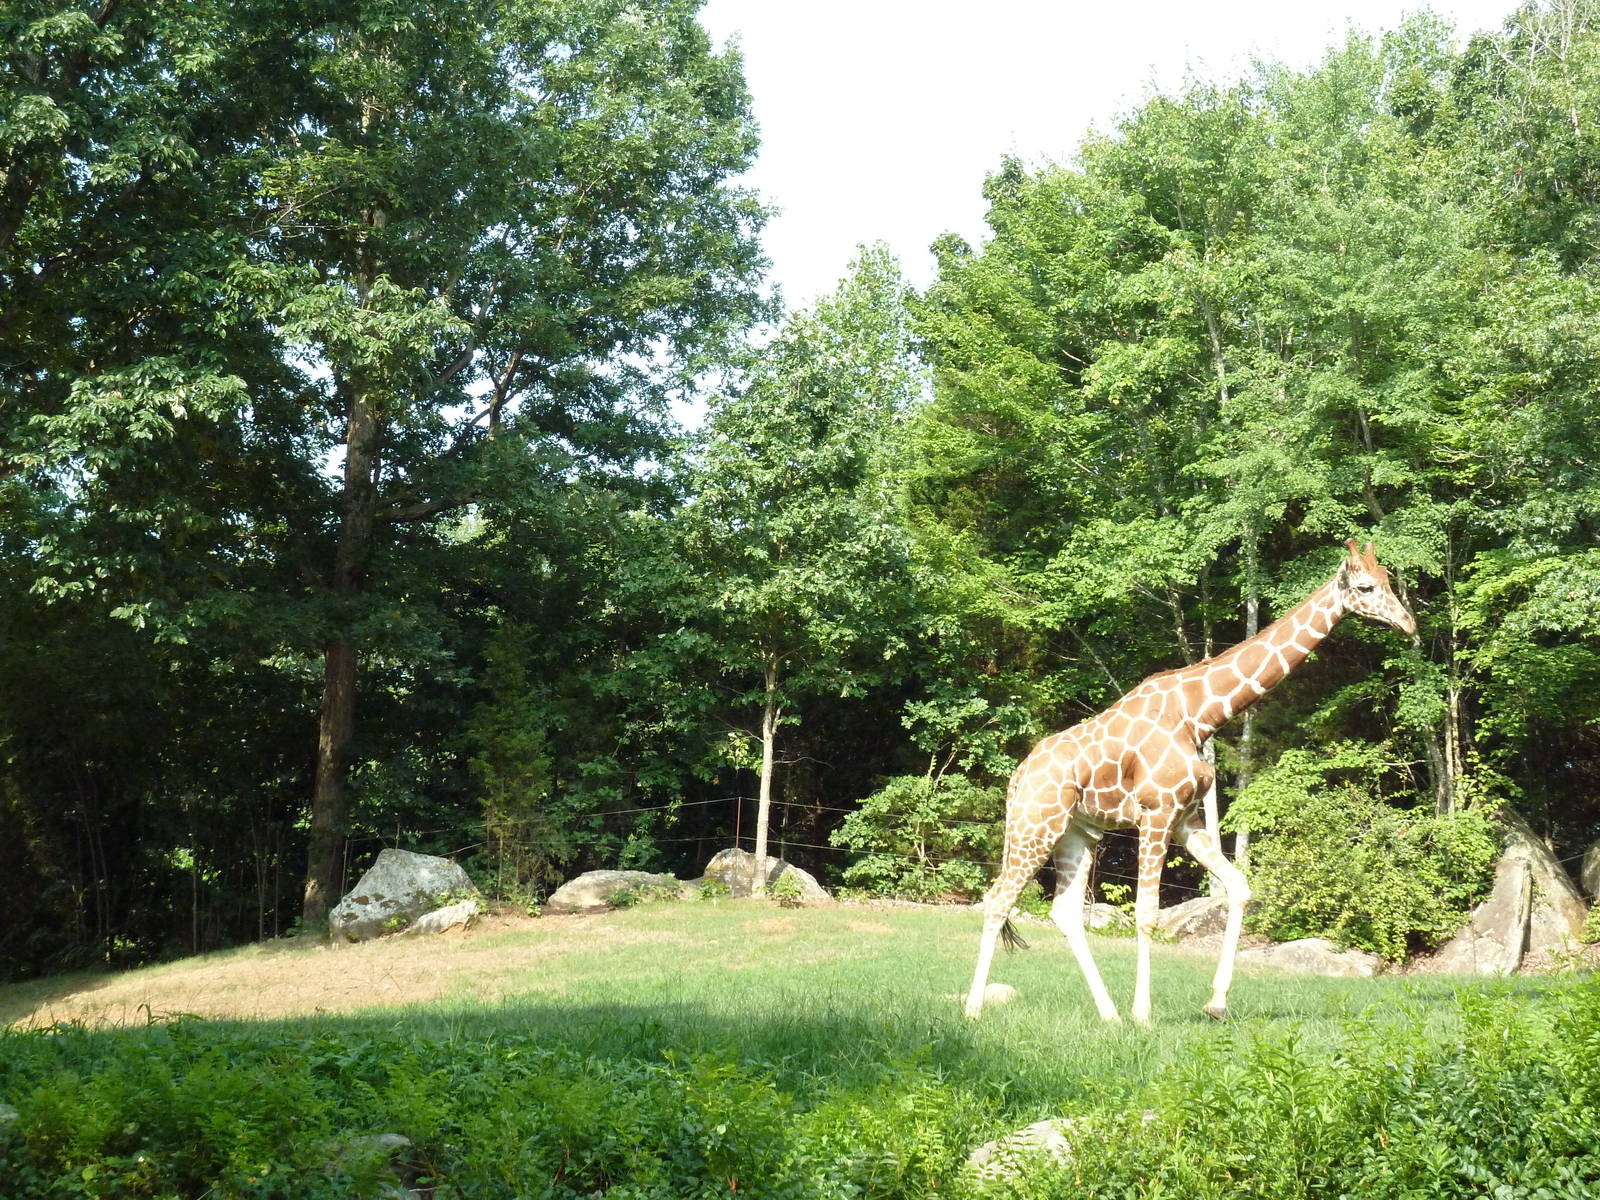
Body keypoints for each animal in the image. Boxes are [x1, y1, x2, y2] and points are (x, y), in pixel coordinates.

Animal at [965, 540, 1416, 1024]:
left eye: (1389, 579)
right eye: (1366, 586)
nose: (1408, 624)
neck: (1200, 715)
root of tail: (1018, 776)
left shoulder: (1187, 818)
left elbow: (1238, 887)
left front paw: (1216, 1003)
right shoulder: (1156, 812)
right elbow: (1147, 913)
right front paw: (1144, 1012)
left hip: (1076, 832)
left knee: (1064, 912)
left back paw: (1108, 1013)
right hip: (1036, 824)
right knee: (999, 899)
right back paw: (974, 1008)